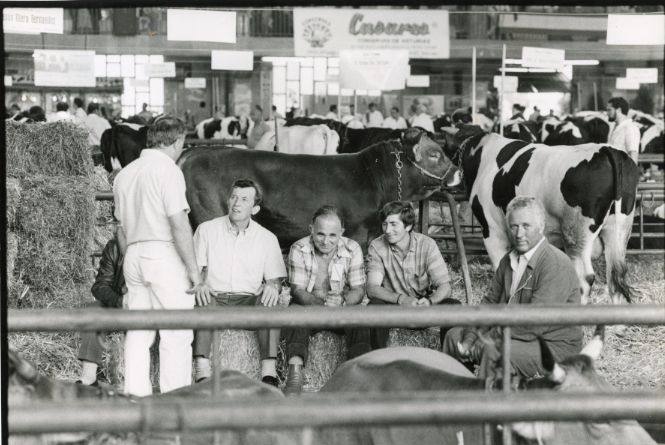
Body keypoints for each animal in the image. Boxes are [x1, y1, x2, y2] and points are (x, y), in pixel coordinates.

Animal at [438, 125, 640, 306]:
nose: (444, 182)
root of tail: (607, 149)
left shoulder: (492, 229)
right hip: (619, 230)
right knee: (615, 278)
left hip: (576, 233)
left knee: (584, 278)